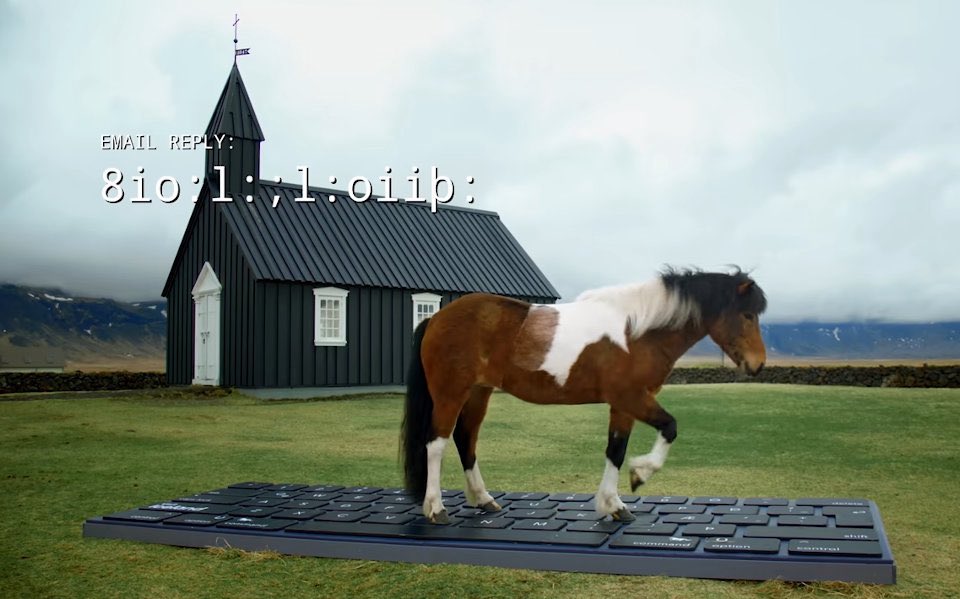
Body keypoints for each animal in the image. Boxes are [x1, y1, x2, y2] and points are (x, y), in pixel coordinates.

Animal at [400, 268, 767, 524]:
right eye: (747, 315)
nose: (759, 364)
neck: (636, 332)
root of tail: (436, 317)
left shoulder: (623, 406)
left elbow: (615, 451)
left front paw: (613, 504)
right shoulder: (632, 397)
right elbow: (670, 427)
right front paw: (639, 475)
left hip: (479, 393)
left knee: (466, 440)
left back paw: (483, 498)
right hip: (450, 394)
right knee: (436, 444)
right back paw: (435, 508)